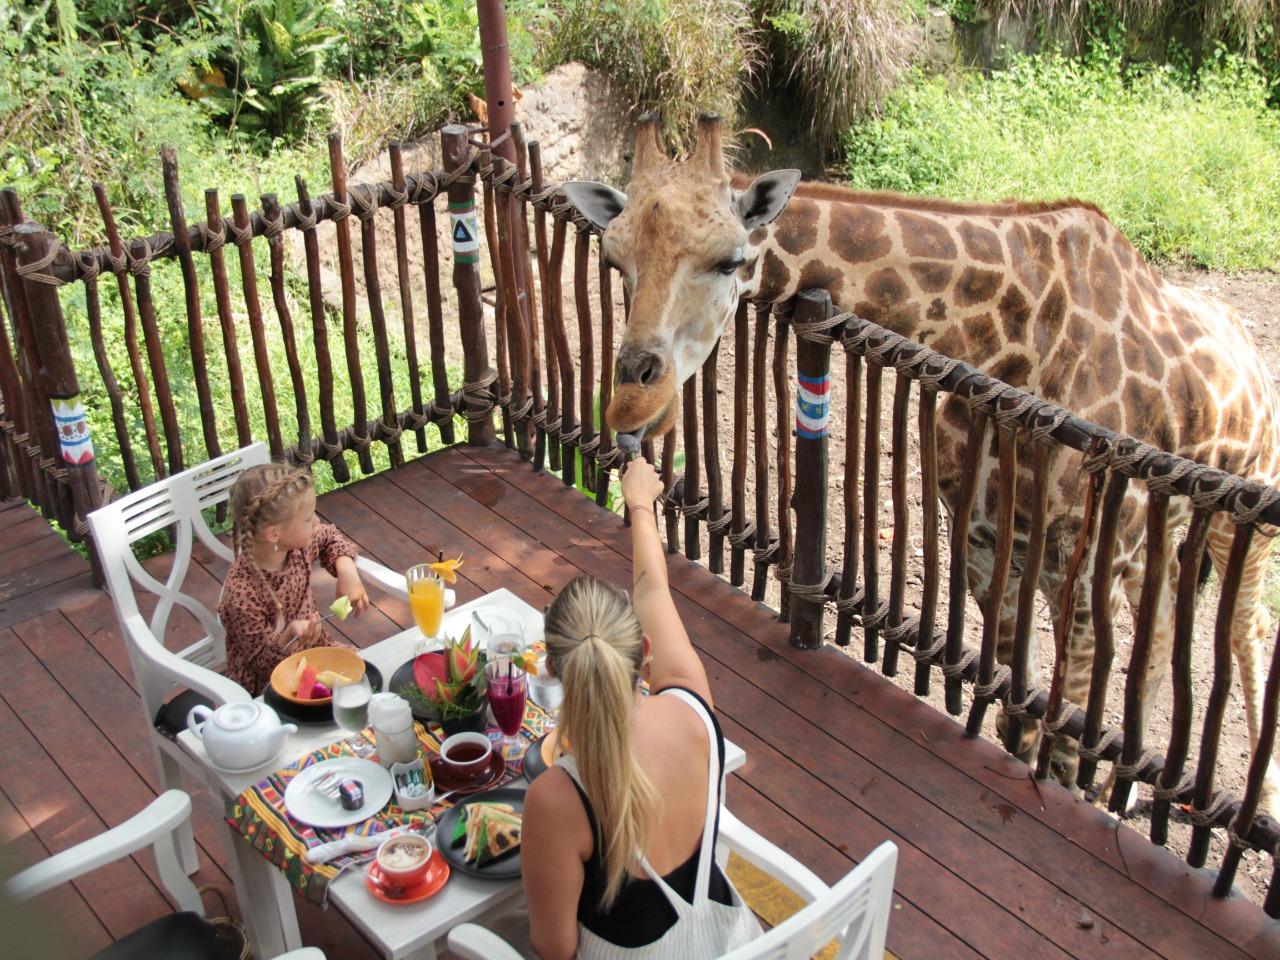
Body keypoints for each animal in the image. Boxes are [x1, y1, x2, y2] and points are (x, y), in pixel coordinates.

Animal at [563, 112, 1280, 814]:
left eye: (730, 260)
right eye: (614, 259)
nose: (631, 403)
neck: (1013, 343)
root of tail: (1252, 354)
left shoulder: (1078, 578)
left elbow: (1057, 736)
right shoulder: (988, 548)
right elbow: (1015, 715)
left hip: (1238, 526)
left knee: (1247, 628)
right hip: (1155, 545)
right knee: (1164, 623)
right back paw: (1116, 791)